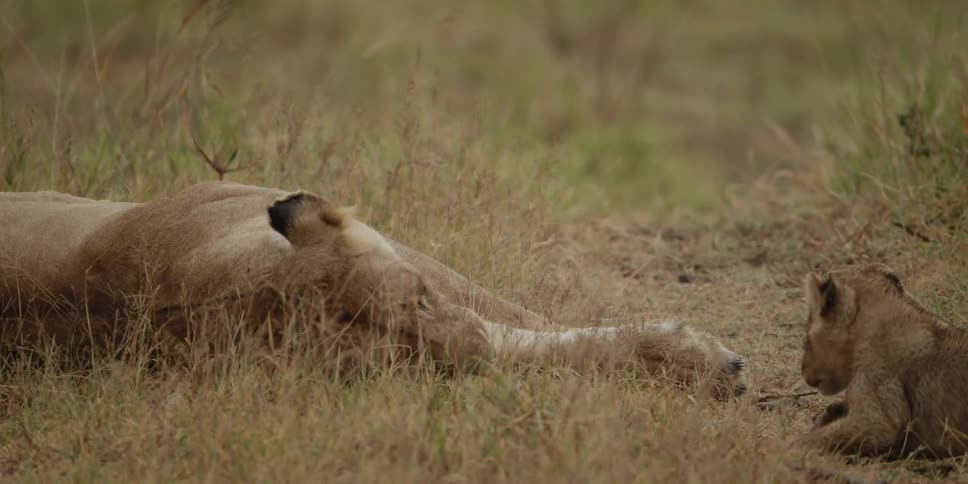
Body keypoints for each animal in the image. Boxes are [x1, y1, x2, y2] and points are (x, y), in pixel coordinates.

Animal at [0, 182, 747, 397]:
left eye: (419, 296)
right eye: (390, 365)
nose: (472, 354)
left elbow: (525, 321)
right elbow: (539, 337)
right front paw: (701, 360)